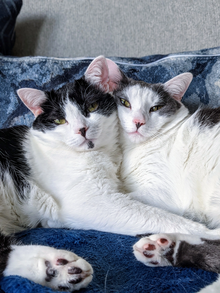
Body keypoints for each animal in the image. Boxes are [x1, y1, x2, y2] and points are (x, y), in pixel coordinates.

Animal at [0, 54, 218, 290]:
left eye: (92, 107)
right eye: (60, 120)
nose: (81, 129)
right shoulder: (91, 200)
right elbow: (155, 214)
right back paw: (61, 268)